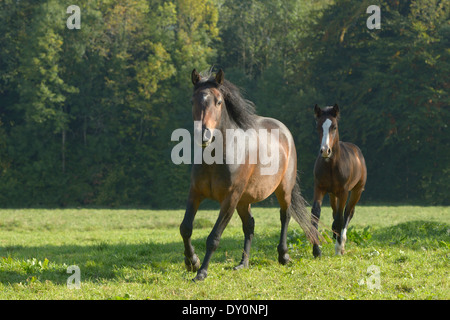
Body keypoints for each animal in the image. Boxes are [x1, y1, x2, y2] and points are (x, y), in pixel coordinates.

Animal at [179, 69, 316, 282]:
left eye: (218, 101)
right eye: (192, 100)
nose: (204, 135)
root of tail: (284, 131)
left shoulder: (230, 199)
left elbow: (213, 237)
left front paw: (201, 272)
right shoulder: (196, 193)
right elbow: (185, 228)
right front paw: (192, 262)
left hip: (282, 190)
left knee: (284, 216)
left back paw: (283, 256)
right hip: (244, 201)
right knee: (249, 225)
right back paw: (243, 263)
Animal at [312, 105, 368, 258]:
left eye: (334, 127)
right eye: (318, 126)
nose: (325, 150)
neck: (331, 165)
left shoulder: (344, 192)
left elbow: (341, 218)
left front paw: (338, 248)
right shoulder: (319, 188)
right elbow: (316, 214)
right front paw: (316, 250)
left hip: (356, 191)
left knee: (347, 213)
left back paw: (341, 242)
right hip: (332, 194)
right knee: (335, 212)